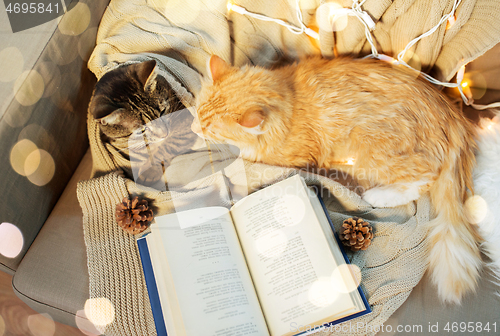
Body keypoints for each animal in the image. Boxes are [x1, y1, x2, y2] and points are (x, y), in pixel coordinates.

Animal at [191, 55, 480, 304]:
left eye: (211, 129)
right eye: (197, 110)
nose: (194, 128)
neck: (290, 101)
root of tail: (450, 112)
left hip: (371, 149)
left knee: (424, 177)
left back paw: (379, 195)